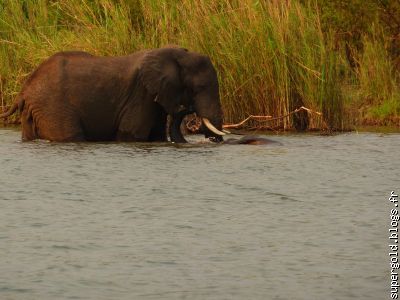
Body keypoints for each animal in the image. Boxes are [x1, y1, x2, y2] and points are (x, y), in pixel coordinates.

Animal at [0, 47, 225, 143]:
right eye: (199, 88)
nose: (188, 109)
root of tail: (23, 91)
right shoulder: (141, 94)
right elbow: (132, 134)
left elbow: (157, 135)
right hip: (52, 107)